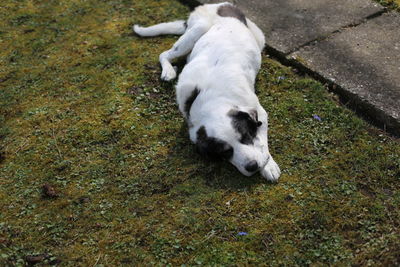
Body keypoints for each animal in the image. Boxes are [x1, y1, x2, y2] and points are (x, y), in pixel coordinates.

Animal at [133, 1, 280, 182]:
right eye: (226, 151)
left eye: (246, 136)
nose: (251, 166)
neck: (212, 100)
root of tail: (216, 4)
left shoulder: (258, 111)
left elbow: (262, 140)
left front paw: (269, 165)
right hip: (196, 31)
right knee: (164, 54)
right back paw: (169, 71)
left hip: (257, 37)